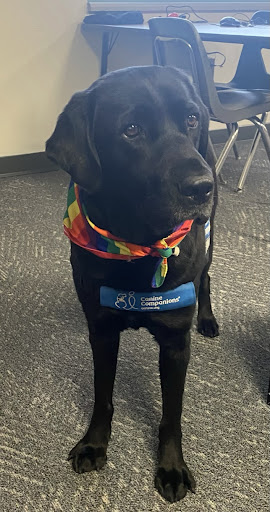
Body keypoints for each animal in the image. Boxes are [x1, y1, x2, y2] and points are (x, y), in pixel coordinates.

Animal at [46, 65, 219, 504]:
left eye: (191, 118)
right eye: (131, 129)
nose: (201, 186)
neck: (138, 246)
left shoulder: (176, 343)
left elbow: (171, 414)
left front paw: (172, 466)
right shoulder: (102, 330)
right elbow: (102, 396)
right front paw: (94, 444)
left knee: (206, 275)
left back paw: (208, 319)